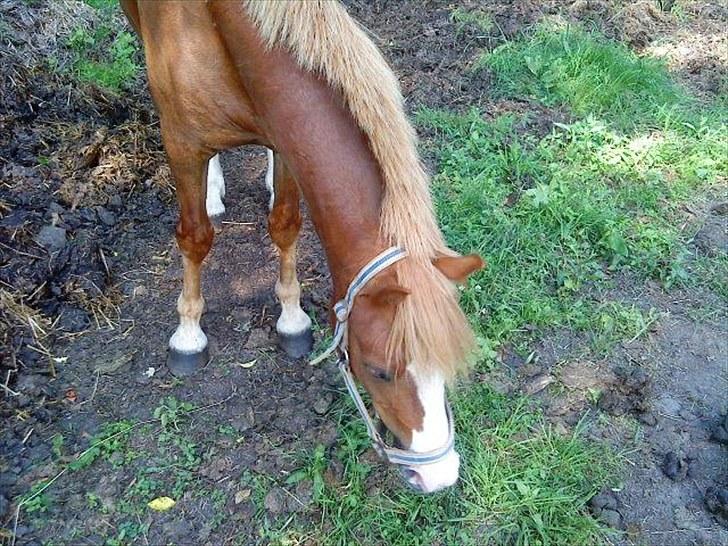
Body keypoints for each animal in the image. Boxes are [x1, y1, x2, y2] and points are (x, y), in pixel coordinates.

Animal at [119, 1, 484, 492]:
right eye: (379, 370)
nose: (439, 476)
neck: (216, 23)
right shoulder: (181, 146)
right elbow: (195, 238)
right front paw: (188, 332)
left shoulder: (285, 138)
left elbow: (286, 225)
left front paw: (291, 317)